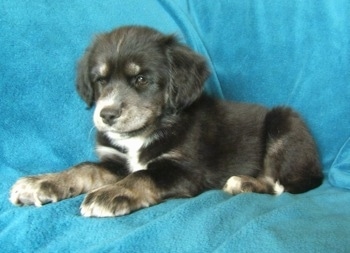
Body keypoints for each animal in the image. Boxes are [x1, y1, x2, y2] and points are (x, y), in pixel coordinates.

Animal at [10, 25, 322, 217]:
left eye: (141, 79)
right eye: (100, 80)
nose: (106, 115)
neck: (143, 133)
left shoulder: (185, 170)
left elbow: (143, 175)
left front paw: (109, 195)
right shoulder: (115, 161)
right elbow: (83, 167)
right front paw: (40, 183)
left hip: (285, 122)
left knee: (281, 184)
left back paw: (243, 182)